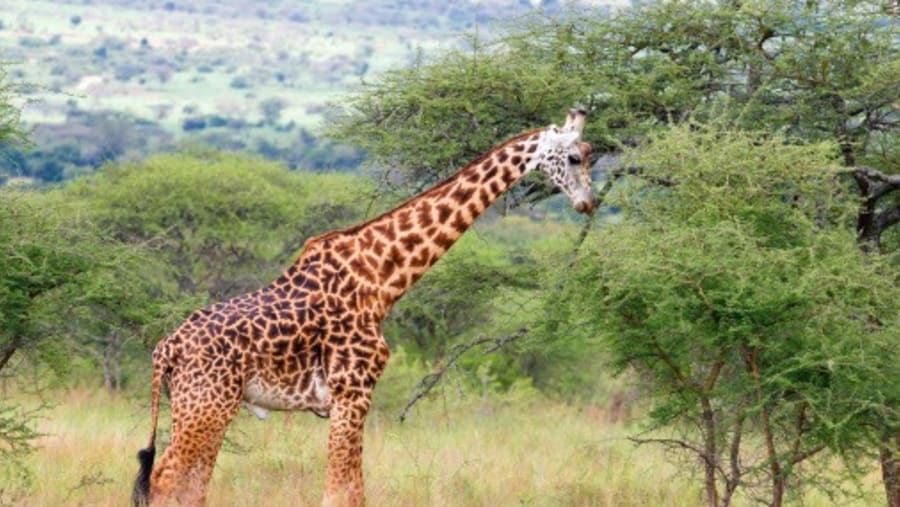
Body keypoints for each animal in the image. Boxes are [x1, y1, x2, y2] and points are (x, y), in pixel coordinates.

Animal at [132, 108, 595, 507]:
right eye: (574, 157)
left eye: (592, 155)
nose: (589, 203)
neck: (382, 278)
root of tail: (165, 350)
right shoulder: (352, 389)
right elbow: (342, 491)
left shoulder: (348, 396)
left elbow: (350, 488)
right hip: (208, 405)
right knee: (171, 480)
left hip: (195, 406)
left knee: (177, 482)